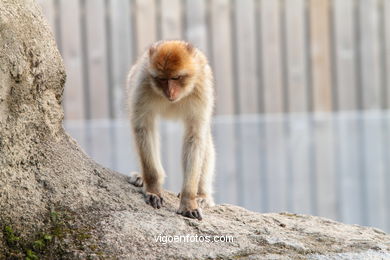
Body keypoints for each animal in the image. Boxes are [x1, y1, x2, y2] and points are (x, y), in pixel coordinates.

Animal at [126, 40, 215, 219]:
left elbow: (195, 137)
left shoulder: (201, 88)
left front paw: (189, 200)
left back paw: (202, 195)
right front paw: (153, 188)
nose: (170, 92)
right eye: (162, 79)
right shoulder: (142, 83)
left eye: (176, 78)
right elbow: (143, 128)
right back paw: (141, 177)